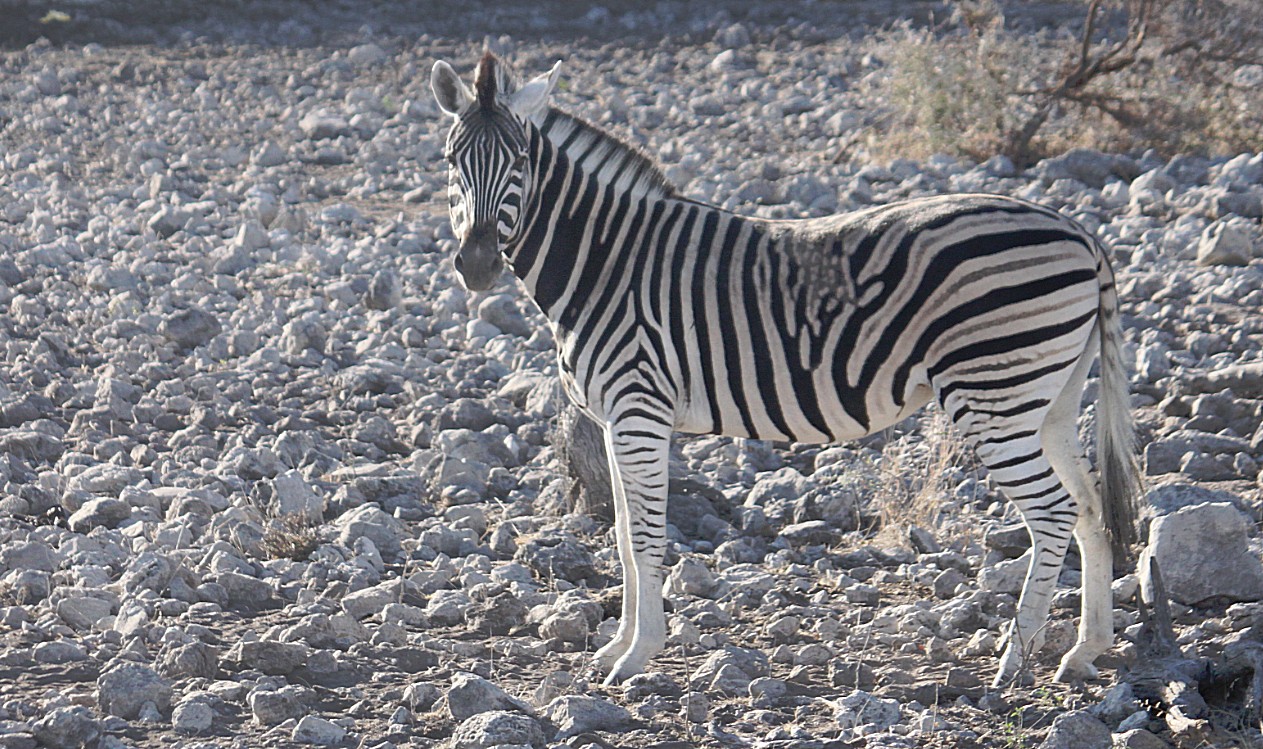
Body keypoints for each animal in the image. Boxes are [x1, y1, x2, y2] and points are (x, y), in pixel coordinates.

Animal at [429, 49, 1141, 687]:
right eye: (451, 160)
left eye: (521, 161)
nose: (478, 265)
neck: (606, 262)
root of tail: (1080, 233)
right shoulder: (614, 421)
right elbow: (627, 533)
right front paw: (615, 648)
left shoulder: (638, 411)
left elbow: (646, 537)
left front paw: (637, 657)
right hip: (1046, 400)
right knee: (1087, 506)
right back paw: (1086, 650)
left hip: (994, 395)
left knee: (1051, 512)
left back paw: (1014, 660)